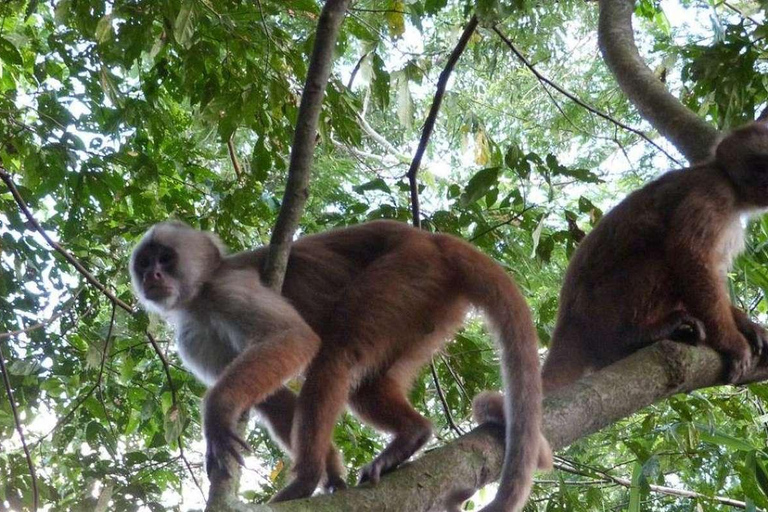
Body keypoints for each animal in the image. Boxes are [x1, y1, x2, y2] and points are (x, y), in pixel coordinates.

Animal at [132, 221, 552, 512]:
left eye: (165, 258)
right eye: (144, 263)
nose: (153, 275)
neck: (199, 297)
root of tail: (432, 238)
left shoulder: (228, 288)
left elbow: (295, 340)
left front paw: (217, 412)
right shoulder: (193, 336)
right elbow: (274, 398)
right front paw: (333, 471)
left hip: (408, 269)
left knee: (335, 354)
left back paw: (305, 478)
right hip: (426, 306)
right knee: (364, 386)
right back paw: (411, 434)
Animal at [540, 120, 768, 392]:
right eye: (764, 163)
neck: (732, 186)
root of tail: (567, 322)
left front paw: (746, 325)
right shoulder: (713, 190)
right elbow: (689, 257)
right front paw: (732, 342)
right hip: (599, 310)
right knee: (662, 257)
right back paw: (635, 336)